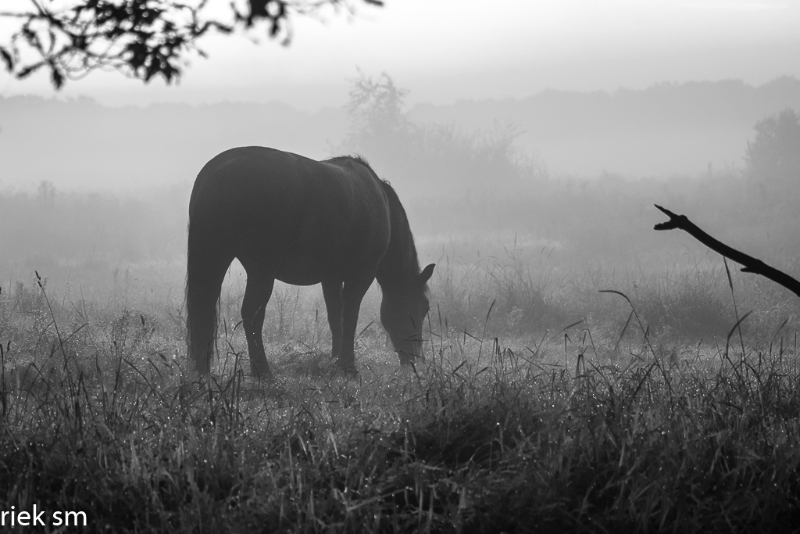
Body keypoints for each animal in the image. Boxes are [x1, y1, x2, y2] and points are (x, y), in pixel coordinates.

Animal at [184, 149, 434, 378]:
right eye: (424, 307)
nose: (415, 359)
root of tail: (216, 172)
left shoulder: (331, 277)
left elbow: (335, 317)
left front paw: (335, 361)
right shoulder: (361, 274)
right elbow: (350, 316)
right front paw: (349, 368)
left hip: (216, 258)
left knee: (204, 313)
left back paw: (204, 371)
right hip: (261, 268)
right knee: (251, 315)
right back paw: (262, 371)